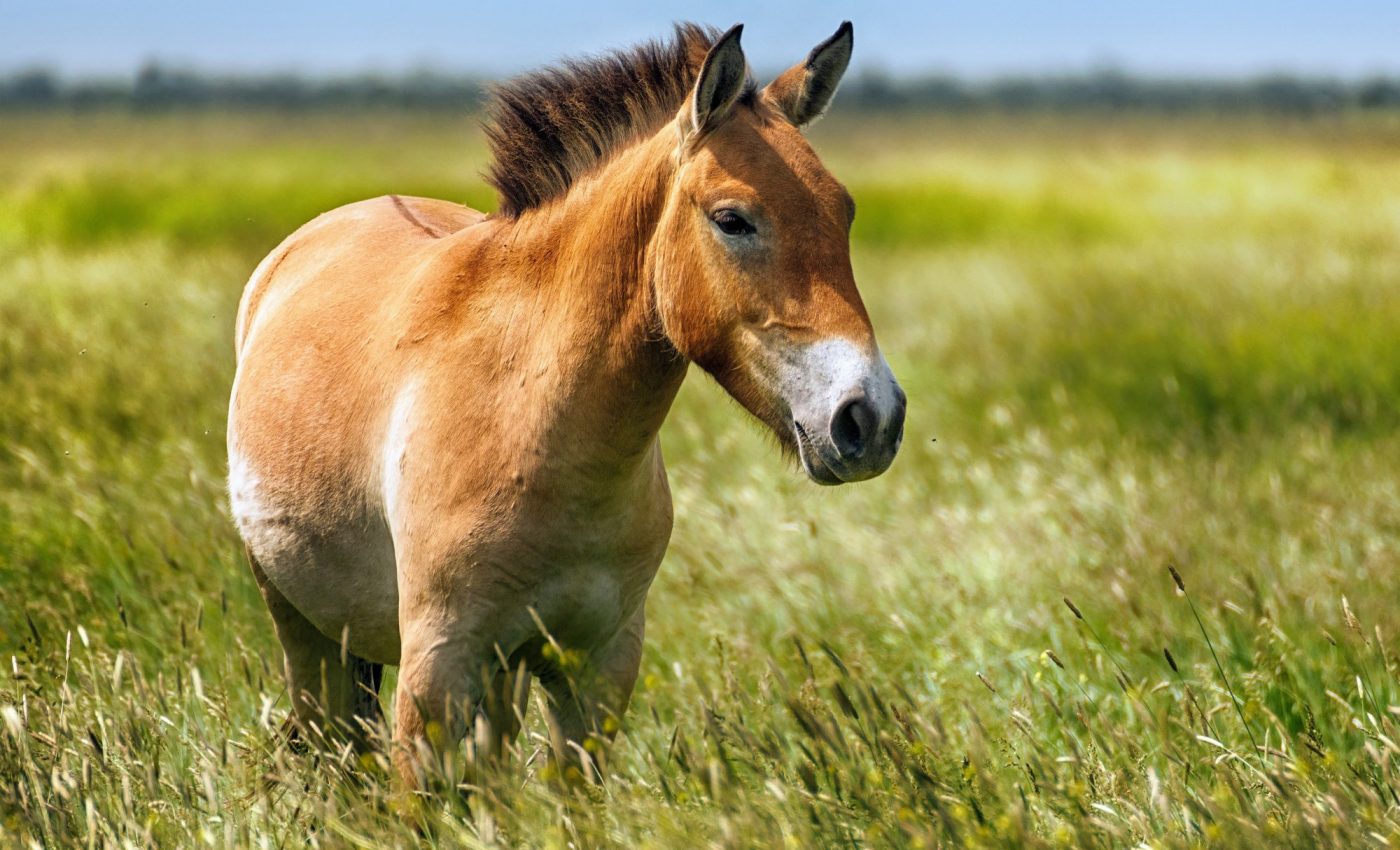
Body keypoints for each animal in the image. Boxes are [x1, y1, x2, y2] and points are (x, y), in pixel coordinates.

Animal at [227, 21, 905, 787]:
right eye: (733, 219)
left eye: (844, 212)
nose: (870, 418)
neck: (531, 419)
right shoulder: (435, 671)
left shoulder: (596, 669)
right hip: (305, 634)